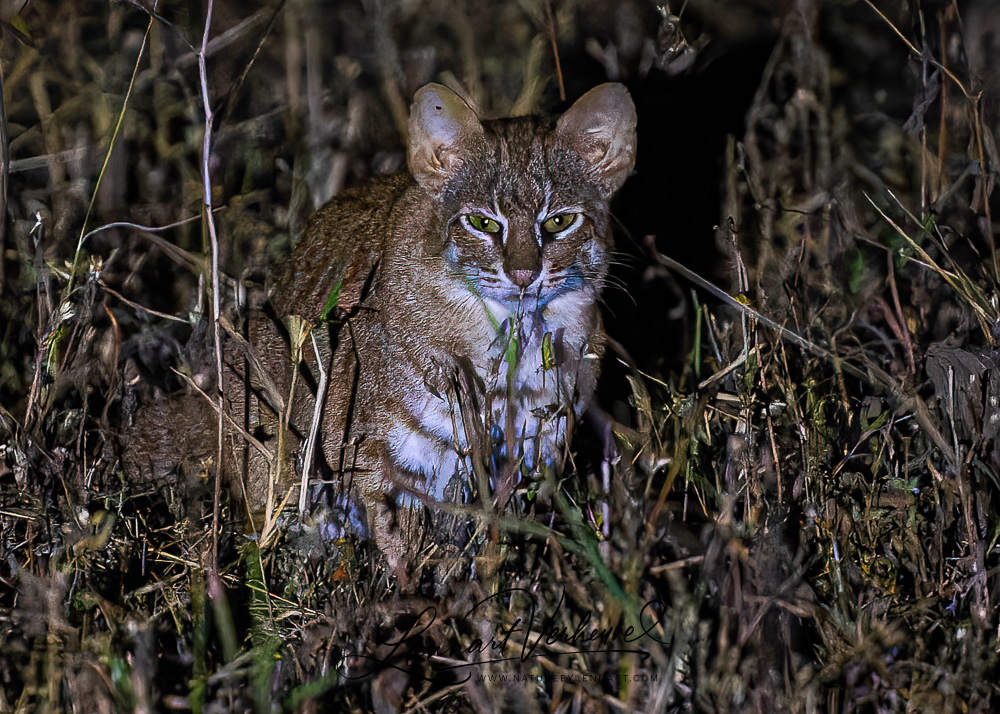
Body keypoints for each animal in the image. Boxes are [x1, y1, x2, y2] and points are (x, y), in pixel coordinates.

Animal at [231, 82, 636, 572]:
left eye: (560, 221)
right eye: (481, 222)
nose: (523, 275)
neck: (515, 335)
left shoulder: (533, 455)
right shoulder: (377, 460)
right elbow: (397, 546)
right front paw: (411, 588)